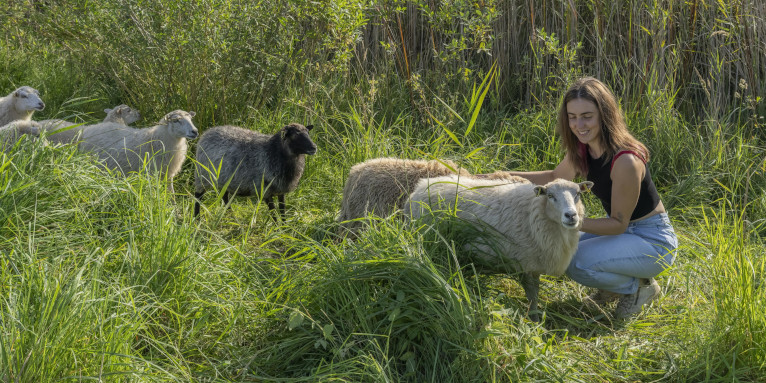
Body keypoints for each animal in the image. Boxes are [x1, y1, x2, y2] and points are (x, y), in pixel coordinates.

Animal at [408, 177, 592, 320]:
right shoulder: (526, 265)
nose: (571, 215)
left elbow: (535, 294)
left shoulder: (534, 266)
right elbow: (532, 297)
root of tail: (420, 187)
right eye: (550, 195)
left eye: (577, 194)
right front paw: (534, 321)